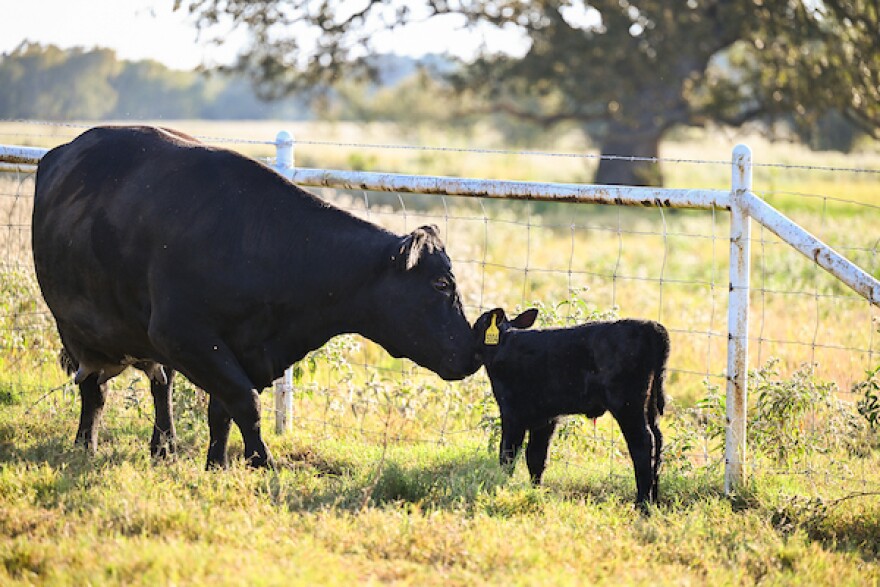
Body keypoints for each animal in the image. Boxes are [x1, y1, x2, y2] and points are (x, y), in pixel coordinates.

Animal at [32, 125, 480, 469]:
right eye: (441, 284)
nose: (473, 353)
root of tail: (63, 151)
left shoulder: (238, 350)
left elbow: (222, 411)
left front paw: (216, 465)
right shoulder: (184, 334)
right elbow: (245, 402)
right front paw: (262, 464)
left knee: (161, 384)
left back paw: (164, 447)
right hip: (76, 328)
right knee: (94, 389)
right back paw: (85, 444)